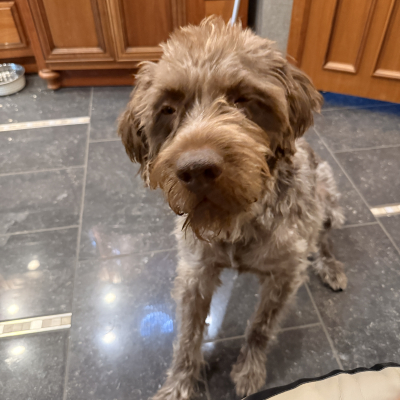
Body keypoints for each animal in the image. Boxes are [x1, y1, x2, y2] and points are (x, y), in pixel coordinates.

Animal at [118, 17, 347, 400]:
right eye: (168, 108)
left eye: (244, 100)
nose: (197, 170)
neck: (242, 219)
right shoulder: (195, 272)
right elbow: (188, 336)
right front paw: (180, 384)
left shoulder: (285, 275)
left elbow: (261, 327)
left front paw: (249, 369)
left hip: (327, 194)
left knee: (324, 238)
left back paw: (330, 265)